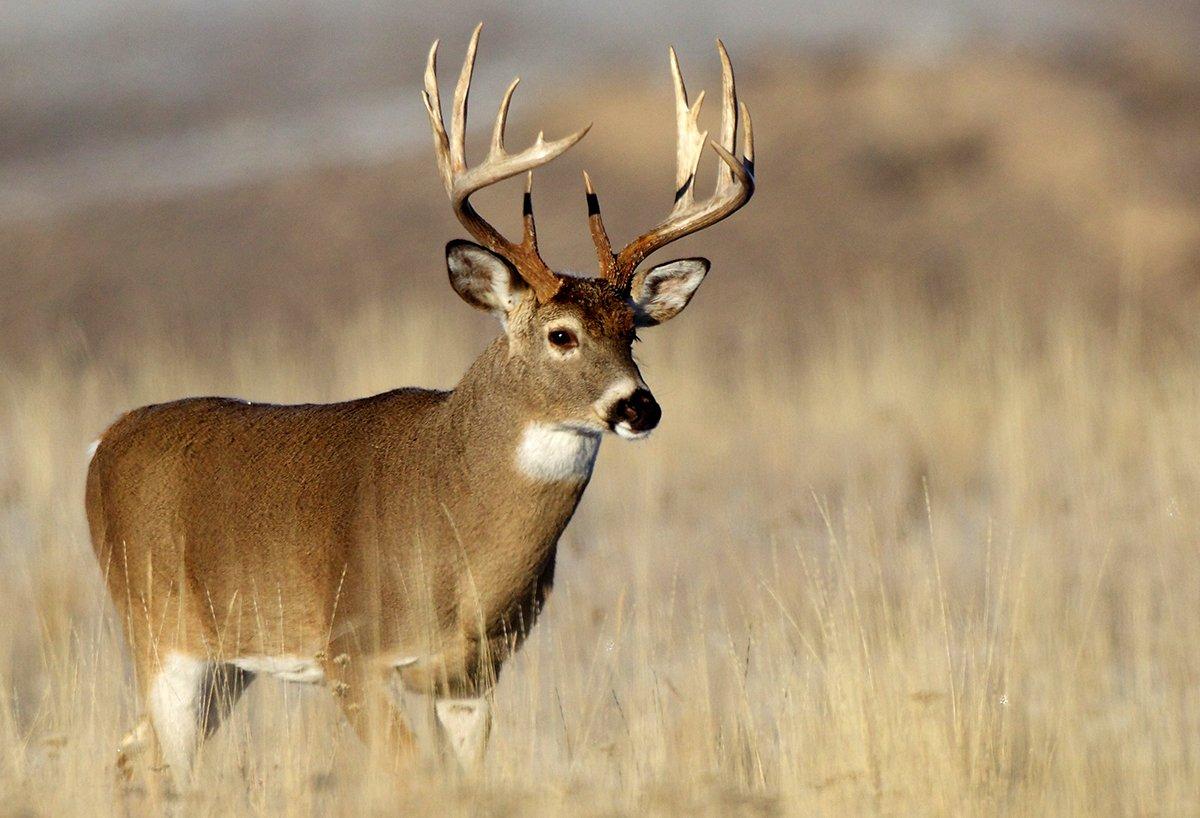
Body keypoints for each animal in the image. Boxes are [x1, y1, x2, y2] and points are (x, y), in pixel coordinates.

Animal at [85, 23, 754, 785]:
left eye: (634, 331)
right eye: (561, 334)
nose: (638, 407)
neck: (454, 527)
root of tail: (103, 444)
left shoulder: (472, 675)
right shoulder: (347, 649)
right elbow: (409, 774)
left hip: (227, 664)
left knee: (130, 756)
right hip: (159, 631)